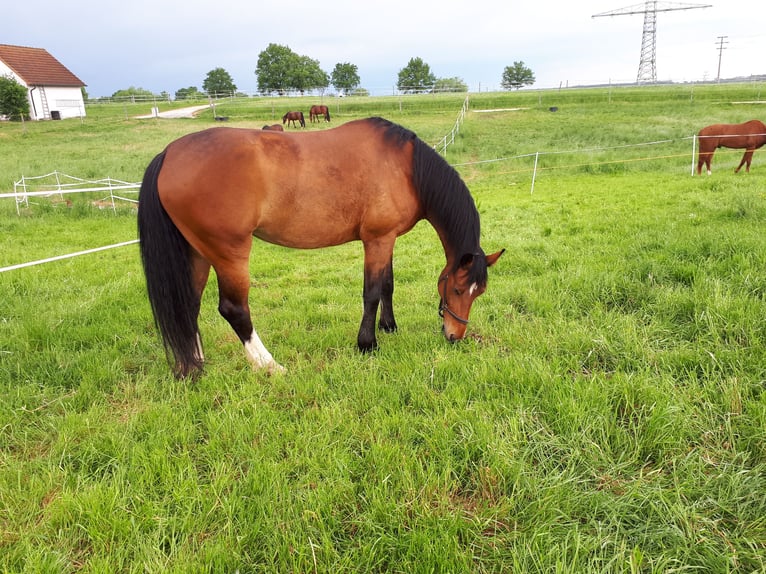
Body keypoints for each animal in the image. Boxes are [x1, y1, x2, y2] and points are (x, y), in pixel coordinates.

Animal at [138, 117, 508, 378]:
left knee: (189, 306)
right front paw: (367, 344)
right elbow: (372, 292)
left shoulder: (387, 239)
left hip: (197, 253)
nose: (455, 336)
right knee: (234, 309)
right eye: (457, 289)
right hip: (228, 252)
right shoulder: (377, 239)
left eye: (479, 292)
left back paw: (195, 365)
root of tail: (169, 154)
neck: (406, 168)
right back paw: (270, 366)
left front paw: (389, 327)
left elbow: (388, 285)